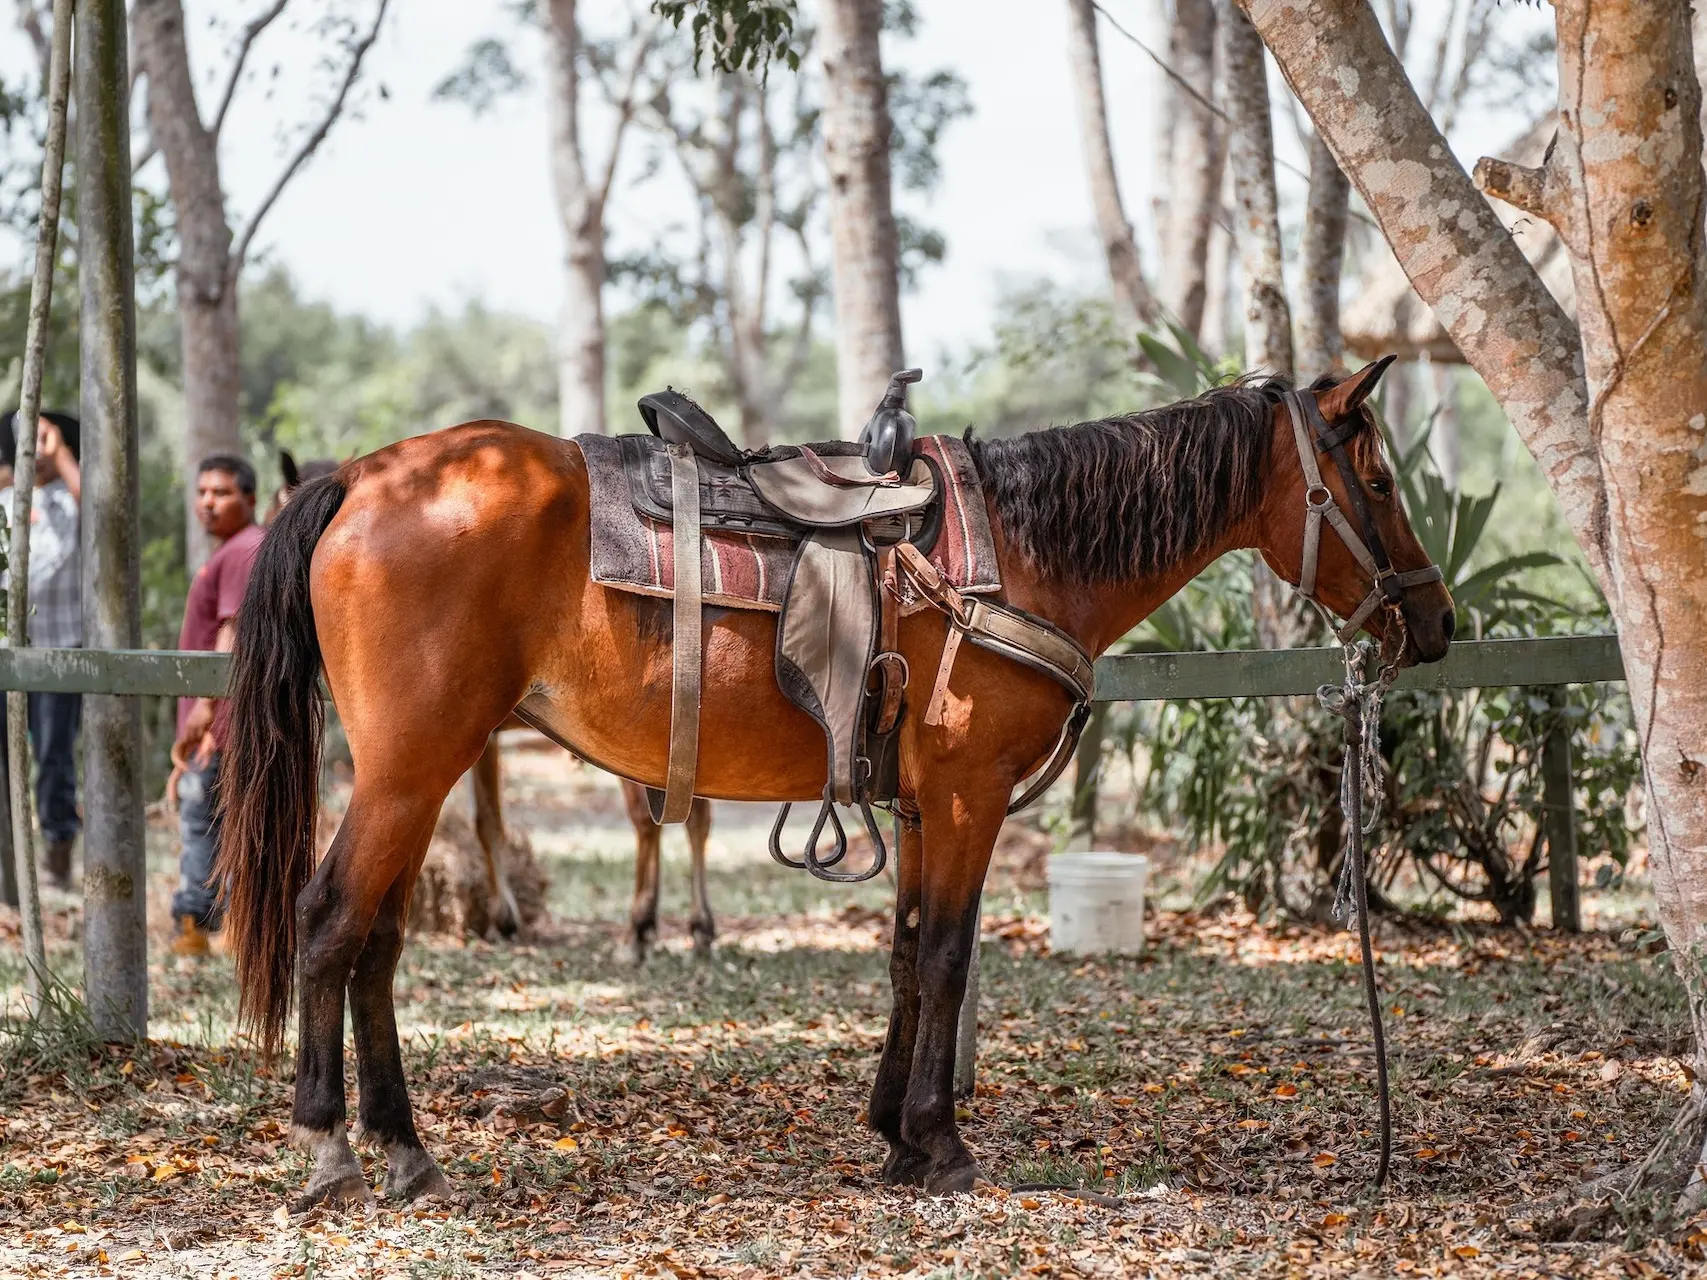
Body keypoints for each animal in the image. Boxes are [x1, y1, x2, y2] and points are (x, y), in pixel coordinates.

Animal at [209, 363, 1440, 1215]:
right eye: (1378, 480)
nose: (1432, 622)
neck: (1024, 553)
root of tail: (363, 473)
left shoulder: (920, 803)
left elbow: (902, 956)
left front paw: (893, 1131)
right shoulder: (967, 797)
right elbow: (944, 956)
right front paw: (940, 1143)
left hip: (427, 770)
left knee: (377, 942)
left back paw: (405, 1147)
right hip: (410, 768)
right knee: (329, 922)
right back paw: (330, 1145)